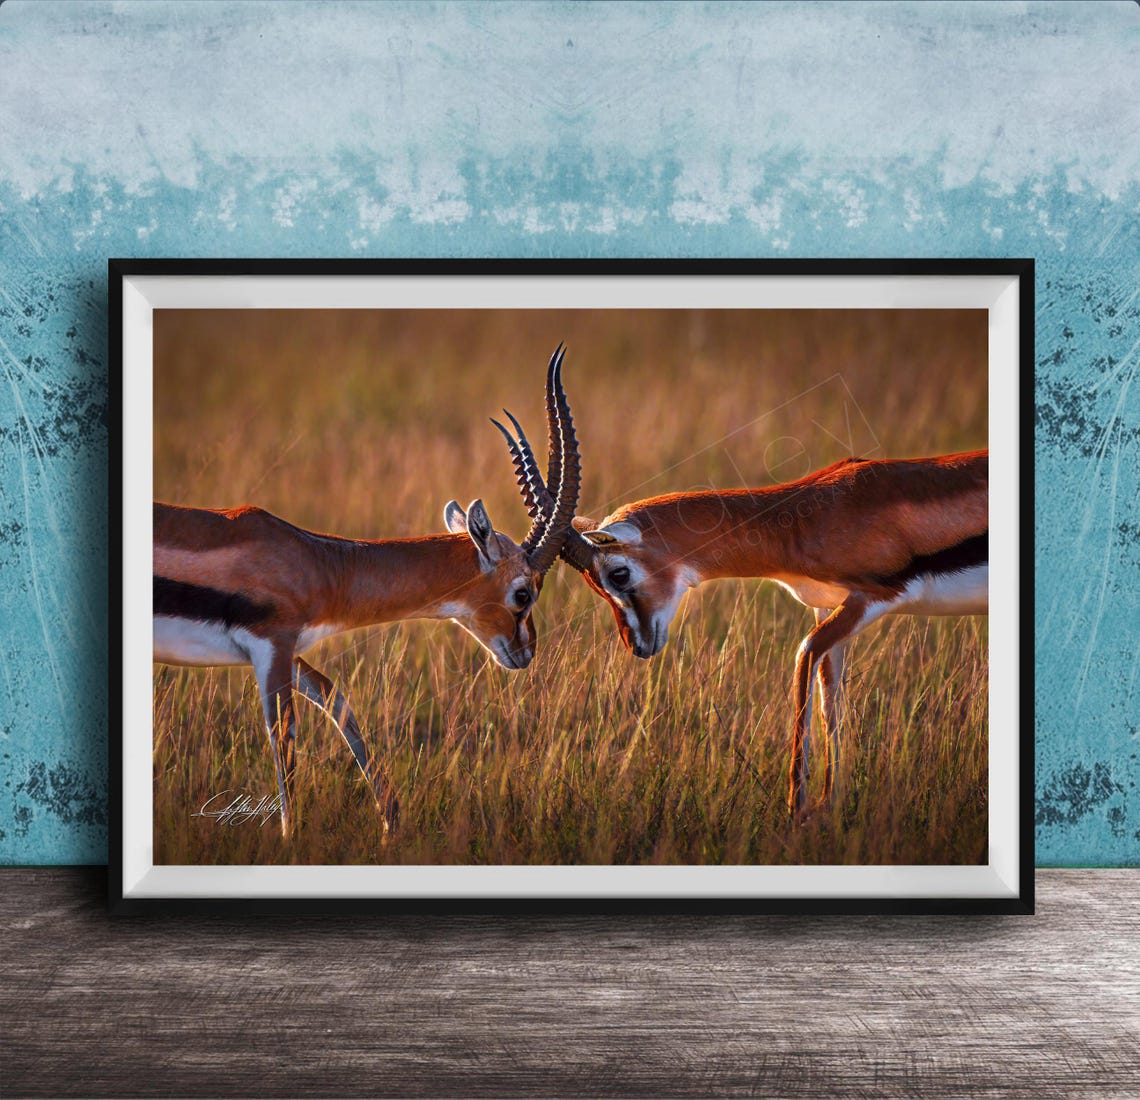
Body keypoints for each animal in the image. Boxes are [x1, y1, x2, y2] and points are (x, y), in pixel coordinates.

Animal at [153, 345, 581, 836]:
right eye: (523, 593)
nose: (525, 653)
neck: (316, 562)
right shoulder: (271, 648)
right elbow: (285, 741)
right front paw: (290, 837)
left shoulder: (287, 651)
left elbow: (336, 700)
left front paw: (391, 820)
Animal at [494, 400, 987, 820]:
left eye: (617, 573)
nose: (637, 645)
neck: (807, 516)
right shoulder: (830, 607)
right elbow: (830, 696)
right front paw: (825, 807)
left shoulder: (871, 598)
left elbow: (804, 658)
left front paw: (795, 811)